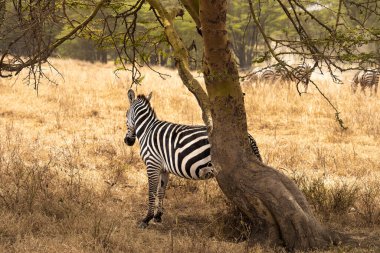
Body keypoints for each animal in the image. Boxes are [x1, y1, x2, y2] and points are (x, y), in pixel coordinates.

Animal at [124, 90, 262, 228]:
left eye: (125, 115)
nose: (127, 141)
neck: (147, 130)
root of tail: (249, 137)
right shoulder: (164, 169)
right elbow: (161, 191)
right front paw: (158, 216)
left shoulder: (152, 163)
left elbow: (151, 192)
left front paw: (146, 219)